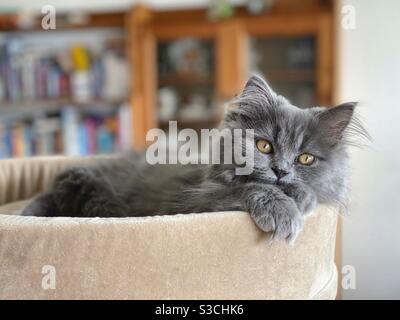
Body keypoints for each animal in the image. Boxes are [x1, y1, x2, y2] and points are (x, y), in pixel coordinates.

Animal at [21, 75, 366, 242]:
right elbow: (245, 188)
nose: (281, 171)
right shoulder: (191, 203)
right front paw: (284, 210)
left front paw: (301, 194)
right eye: (264, 146)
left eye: (305, 159)